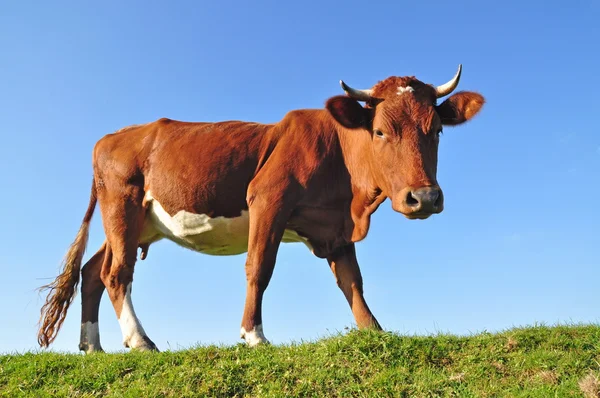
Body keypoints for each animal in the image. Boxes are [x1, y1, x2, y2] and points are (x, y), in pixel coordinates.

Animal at [37, 65, 486, 352]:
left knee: (92, 271)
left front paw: (374, 331)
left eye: (437, 130)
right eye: (379, 131)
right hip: (122, 205)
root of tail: (115, 135)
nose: (423, 198)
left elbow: (353, 282)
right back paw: (141, 341)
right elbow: (259, 266)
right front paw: (253, 335)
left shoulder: (334, 226)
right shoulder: (268, 198)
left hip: (138, 223)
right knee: (116, 273)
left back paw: (92, 347)